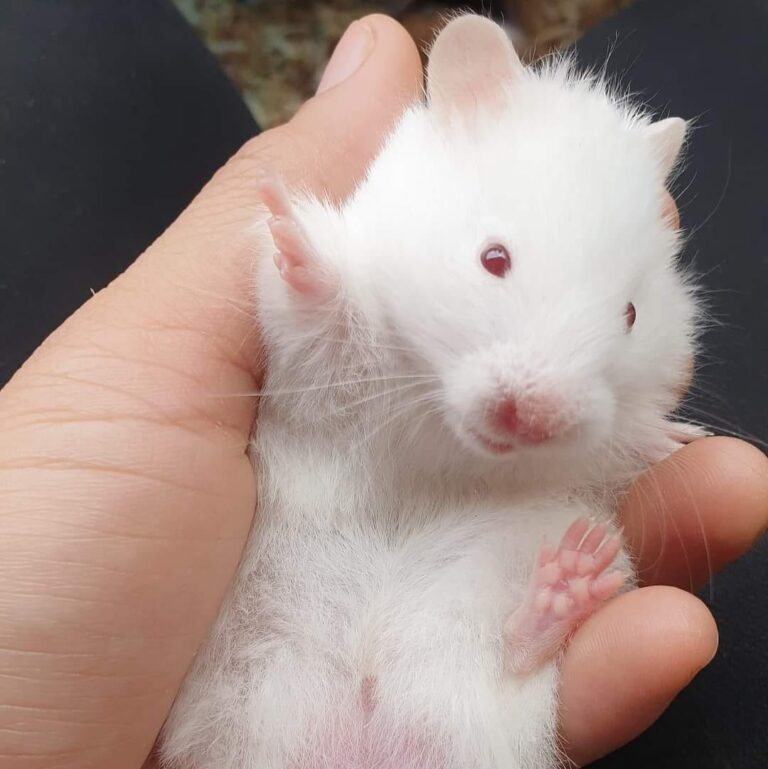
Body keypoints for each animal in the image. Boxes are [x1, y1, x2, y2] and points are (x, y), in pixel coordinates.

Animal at [160, 14, 699, 769]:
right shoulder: (316, 387)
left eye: (630, 314)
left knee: (511, 655)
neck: (446, 434)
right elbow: (326, 322)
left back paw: (567, 583)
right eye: (493, 258)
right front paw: (293, 231)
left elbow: (619, 438)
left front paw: (675, 438)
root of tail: (362, 734)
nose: (531, 417)